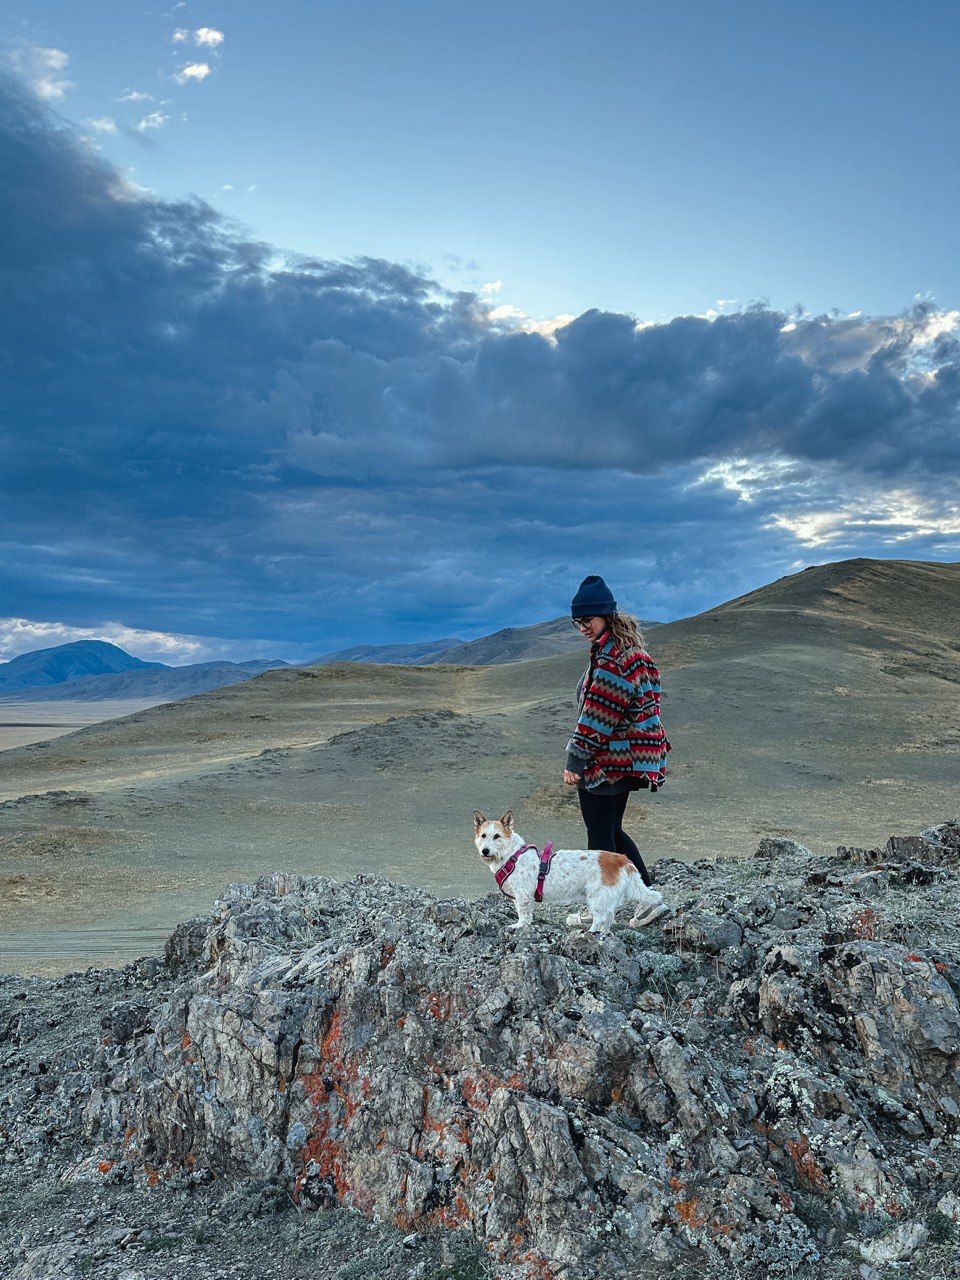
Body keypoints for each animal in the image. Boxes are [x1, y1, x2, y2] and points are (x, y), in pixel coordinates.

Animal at [473, 808, 670, 942]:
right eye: (483, 835)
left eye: (497, 836)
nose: (485, 851)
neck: (511, 855)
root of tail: (621, 859)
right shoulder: (521, 897)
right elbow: (526, 914)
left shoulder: (523, 895)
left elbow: (522, 914)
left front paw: (519, 926)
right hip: (605, 898)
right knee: (608, 917)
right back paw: (604, 933)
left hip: (596, 898)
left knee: (600, 918)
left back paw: (590, 933)